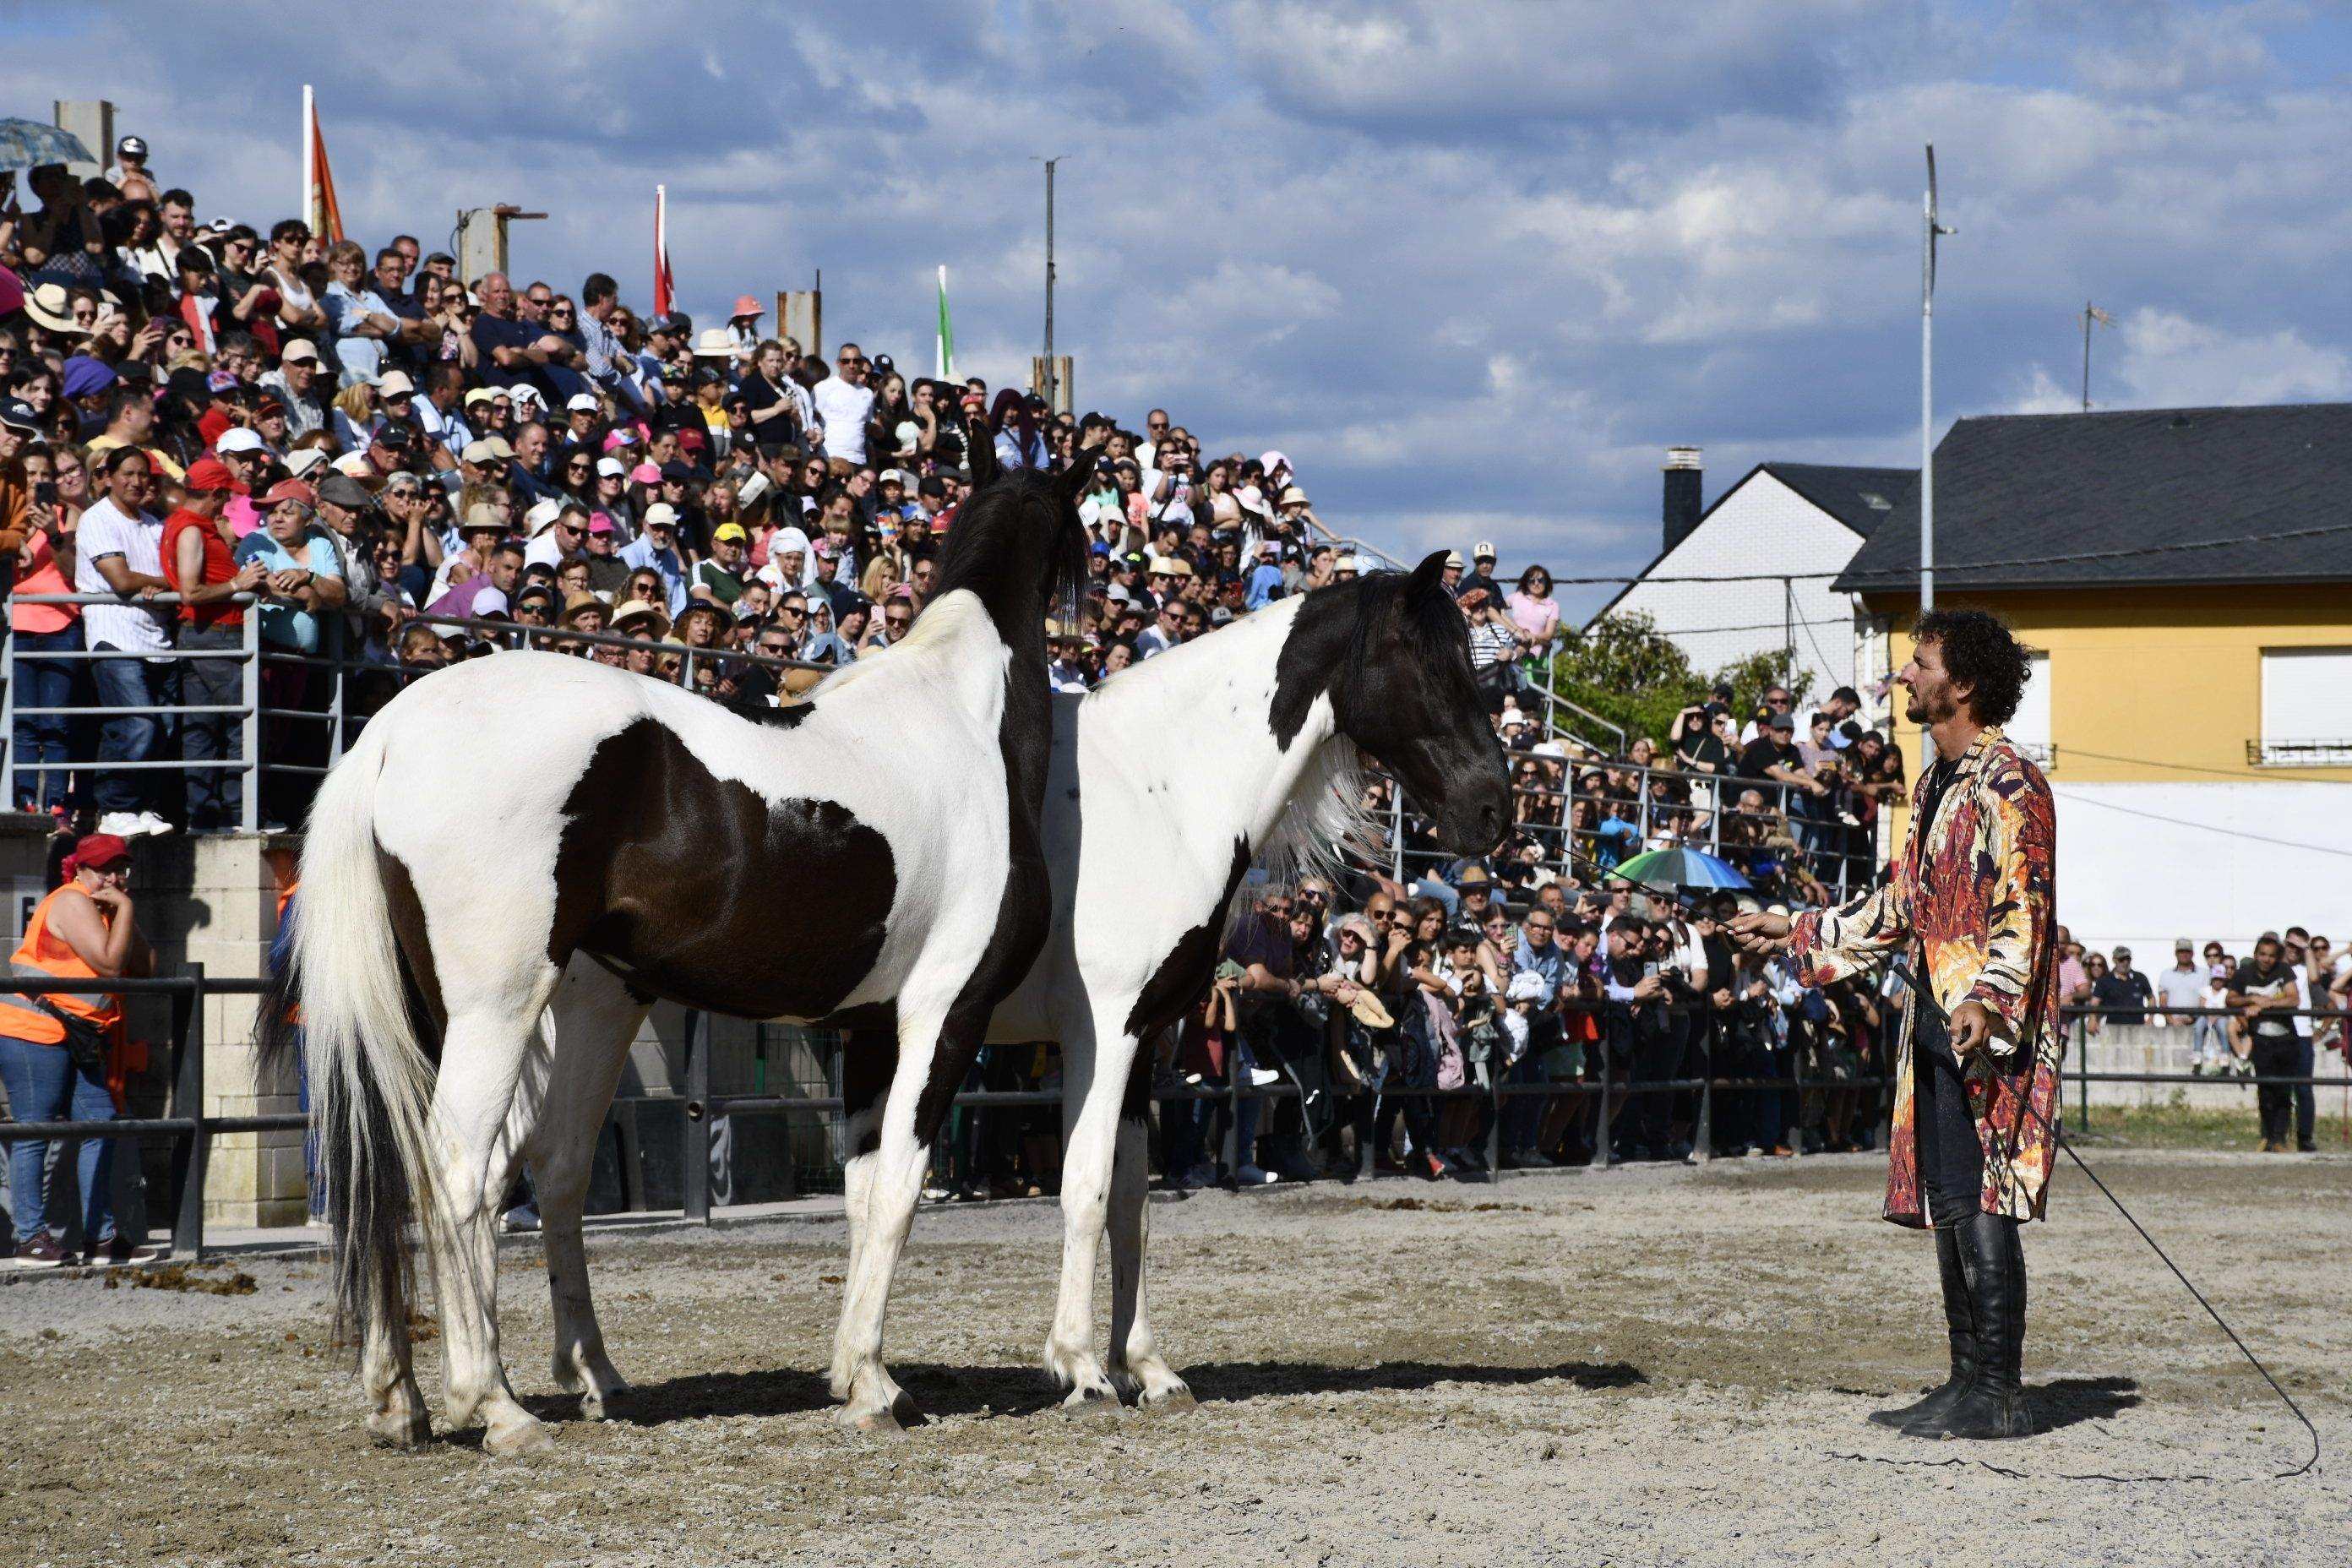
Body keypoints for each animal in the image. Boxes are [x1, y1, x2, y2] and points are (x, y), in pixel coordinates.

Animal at [262, 460, 1086, 1457]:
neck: (966, 720)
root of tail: (387, 731)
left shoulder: (867, 1030)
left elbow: (860, 1195)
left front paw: (853, 1374)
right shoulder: (943, 1014)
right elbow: (900, 1188)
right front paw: (878, 1384)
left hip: (432, 1011)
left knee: (395, 1164)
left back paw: (405, 1399)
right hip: (495, 1008)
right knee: (456, 1164)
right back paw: (494, 1404)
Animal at [487, 545, 1505, 1429]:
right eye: (1429, 661)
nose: (1493, 807)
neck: (1157, 786)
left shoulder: (1145, 1040)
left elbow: (1130, 1196)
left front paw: (1150, 1367)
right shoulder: (1101, 1030)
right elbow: (1083, 1185)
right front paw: (1081, 1366)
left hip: (590, 1008)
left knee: (545, 1169)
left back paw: (586, 1377)